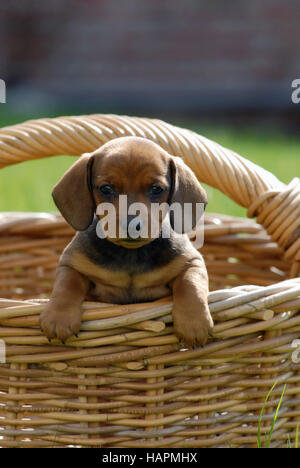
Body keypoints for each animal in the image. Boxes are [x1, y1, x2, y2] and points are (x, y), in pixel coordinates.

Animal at [40, 135, 213, 348]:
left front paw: (194, 322)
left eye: (156, 189)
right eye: (106, 188)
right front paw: (58, 316)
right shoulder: (72, 264)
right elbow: (66, 285)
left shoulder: (191, 262)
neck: (130, 254)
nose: (132, 225)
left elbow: (190, 285)